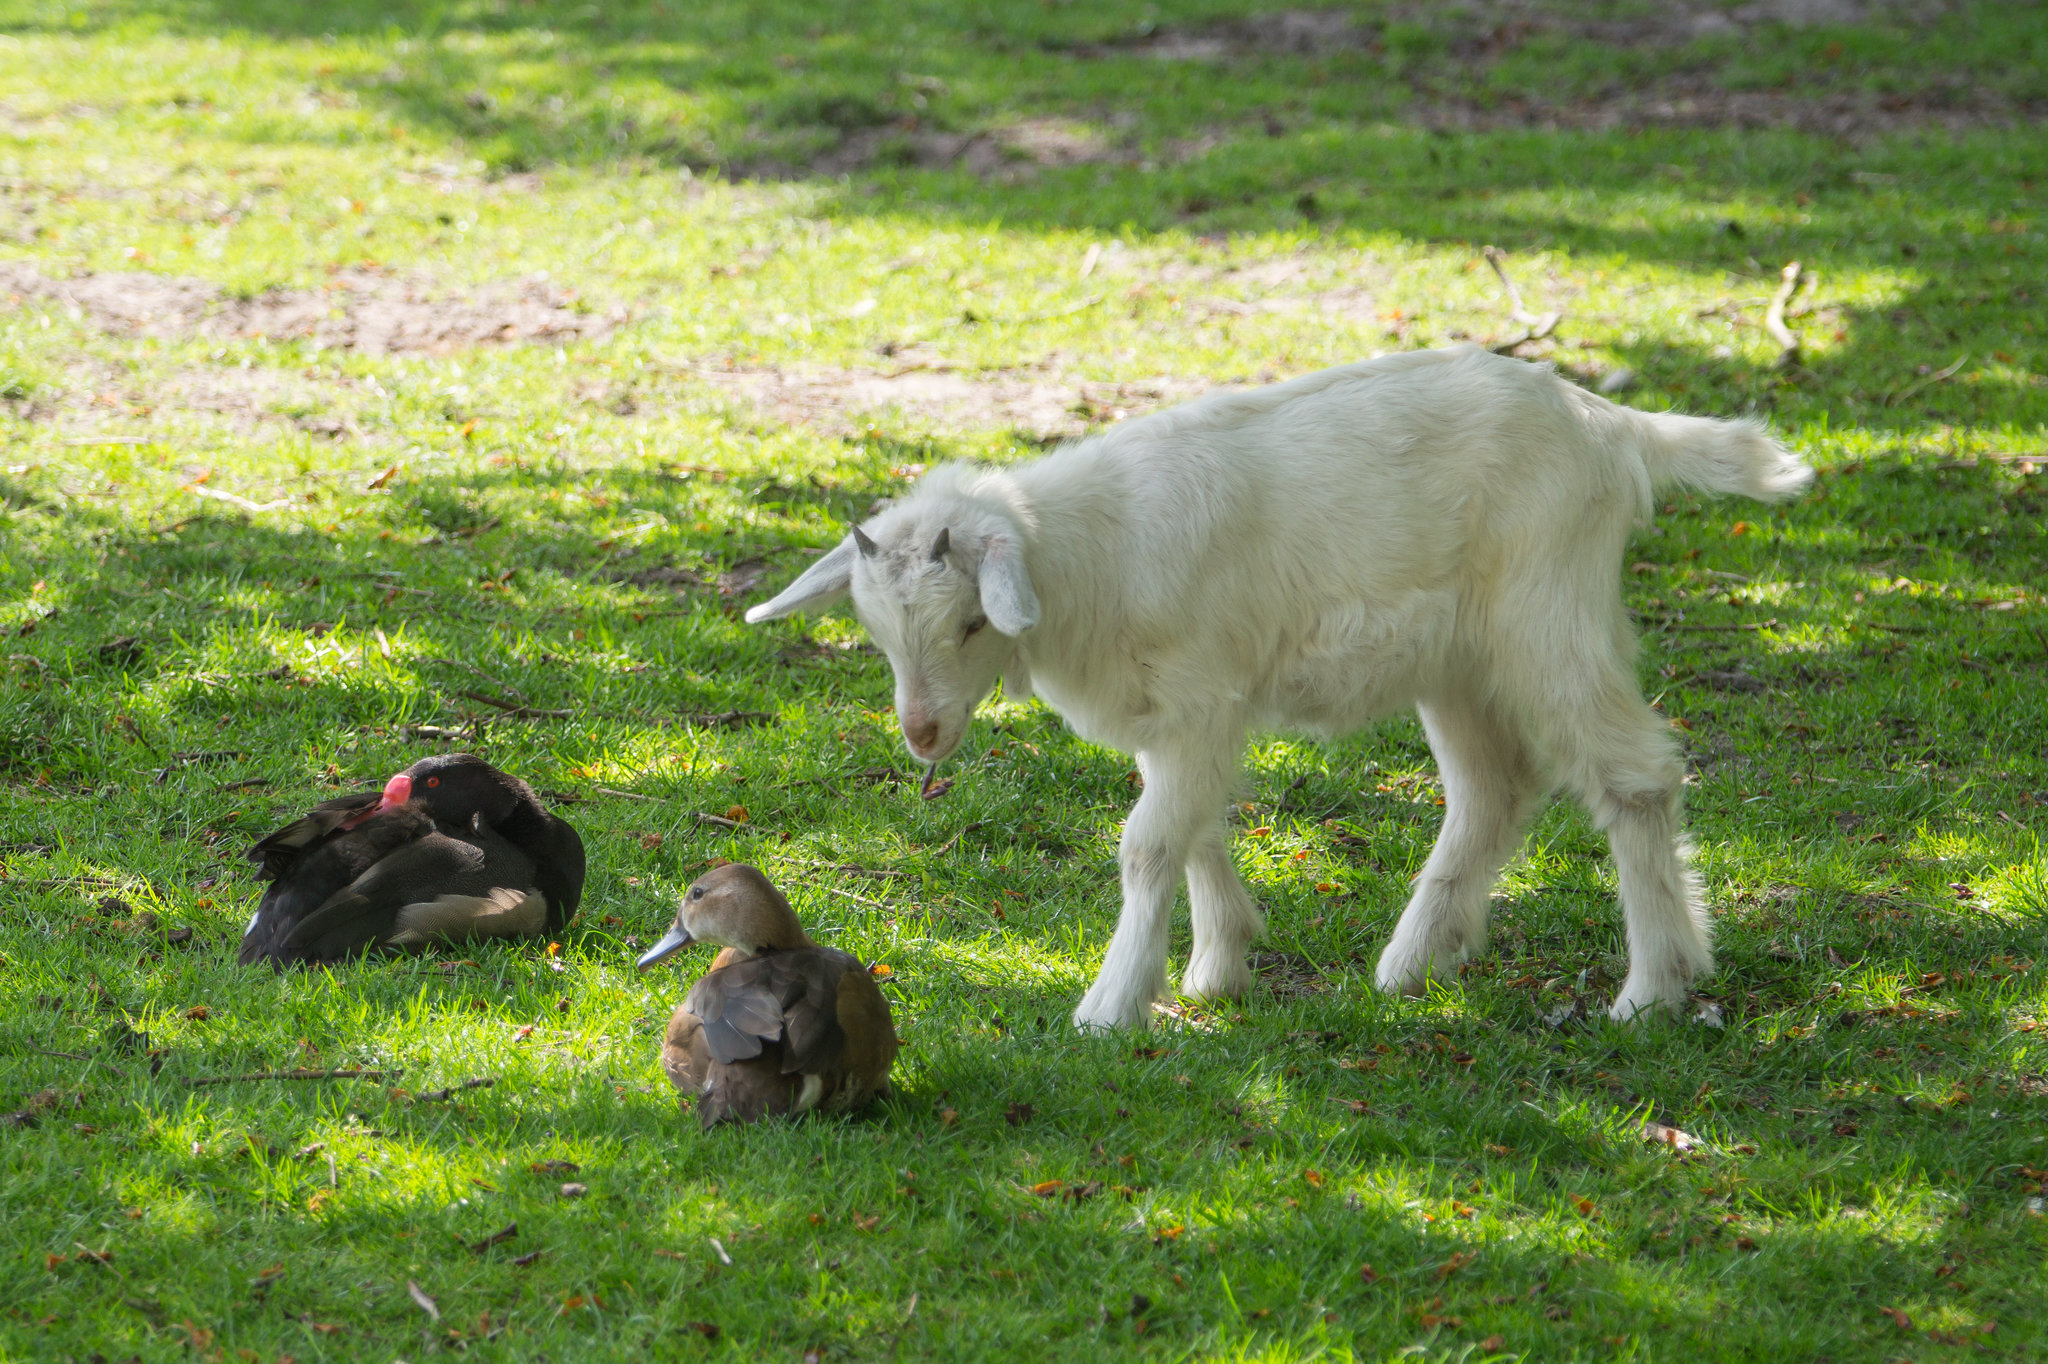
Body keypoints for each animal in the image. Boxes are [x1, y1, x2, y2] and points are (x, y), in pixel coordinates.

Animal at [753, 346, 1810, 1024]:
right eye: (877, 634)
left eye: (971, 622)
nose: (923, 736)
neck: (1089, 559)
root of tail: (1613, 428)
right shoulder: (1184, 717)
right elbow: (1192, 827)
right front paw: (1219, 966)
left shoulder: (1198, 698)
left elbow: (1147, 845)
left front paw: (1111, 1005)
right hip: (1458, 658)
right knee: (1492, 788)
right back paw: (1414, 963)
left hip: (1549, 616)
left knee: (1635, 777)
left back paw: (1653, 989)